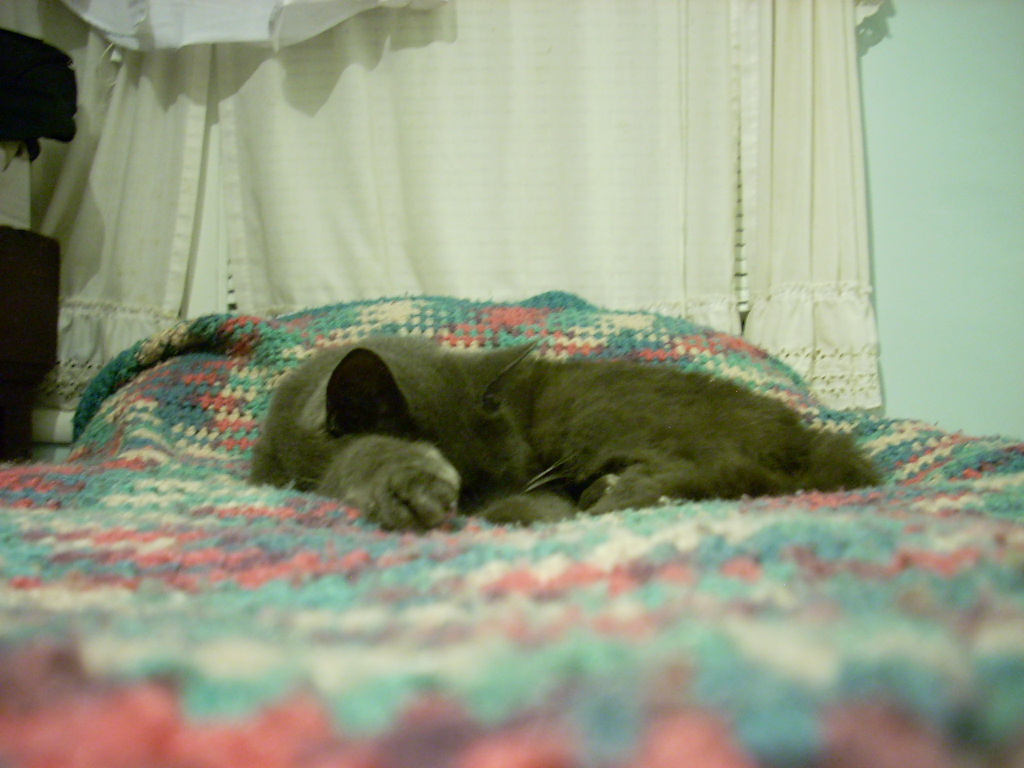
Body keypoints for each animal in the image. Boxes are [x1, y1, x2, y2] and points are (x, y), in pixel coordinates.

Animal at [247, 335, 880, 528]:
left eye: (515, 474)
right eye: (468, 493)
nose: (545, 510)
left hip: (590, 410)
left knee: (719, 468)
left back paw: (615, 494)